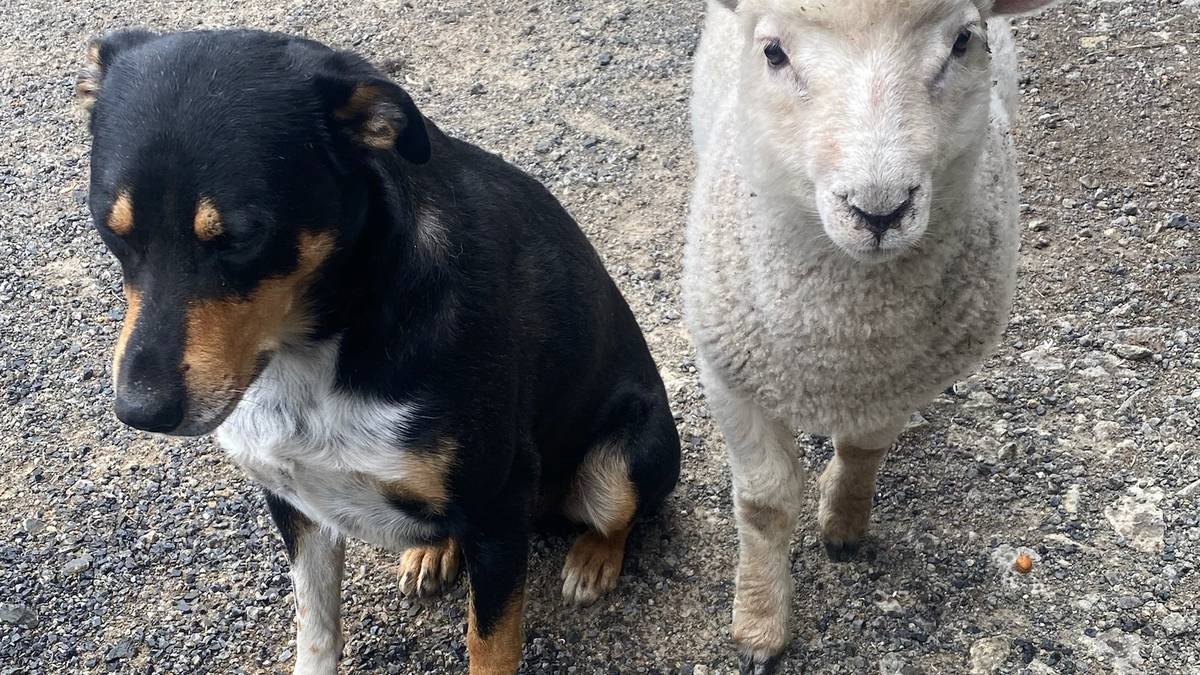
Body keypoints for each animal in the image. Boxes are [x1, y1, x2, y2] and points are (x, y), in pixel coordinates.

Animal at [79, 28, 686, 667]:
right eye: (110, 229)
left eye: (243, 237)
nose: (141, 412)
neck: (321, 348)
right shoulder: (296, 502)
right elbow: (316, 626)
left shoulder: (500, 504)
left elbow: (490, 645)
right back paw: (434, 550)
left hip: (624, 455)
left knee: (618, 514)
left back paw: (593, 559)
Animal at [686, 0, 1060, 667]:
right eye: (773, 52)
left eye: (963, 40)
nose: (879, 210)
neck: (844, 337)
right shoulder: (727, 374)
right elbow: (764, 504)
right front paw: (759, 625)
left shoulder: (900, 381)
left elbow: (864, 452)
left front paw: (843, 523)